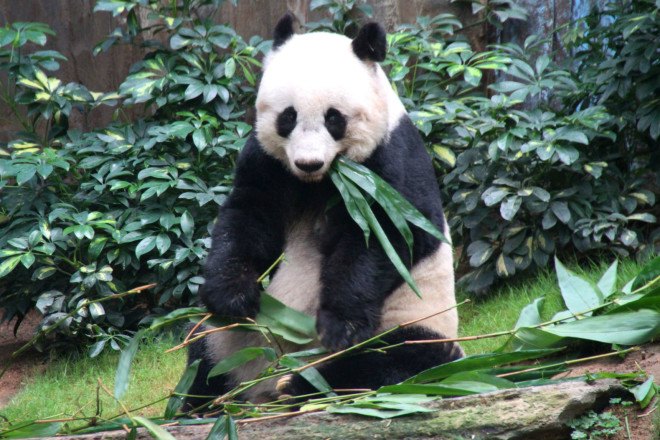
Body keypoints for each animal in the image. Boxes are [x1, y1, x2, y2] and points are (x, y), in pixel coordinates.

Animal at [184, 13, 463, 409]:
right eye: (287, 117)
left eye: (335, 119)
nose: (309, 162)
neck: (319, 182)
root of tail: (259, 387)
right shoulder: (267, 161)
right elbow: (248, 217)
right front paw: (232, 295)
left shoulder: (391, 160)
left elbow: (389, 237)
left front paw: (339, 325)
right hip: (226, 341)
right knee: (203, 356)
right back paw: (199, 403)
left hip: (418, 319)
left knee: (400, 359)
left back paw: (302, 385)